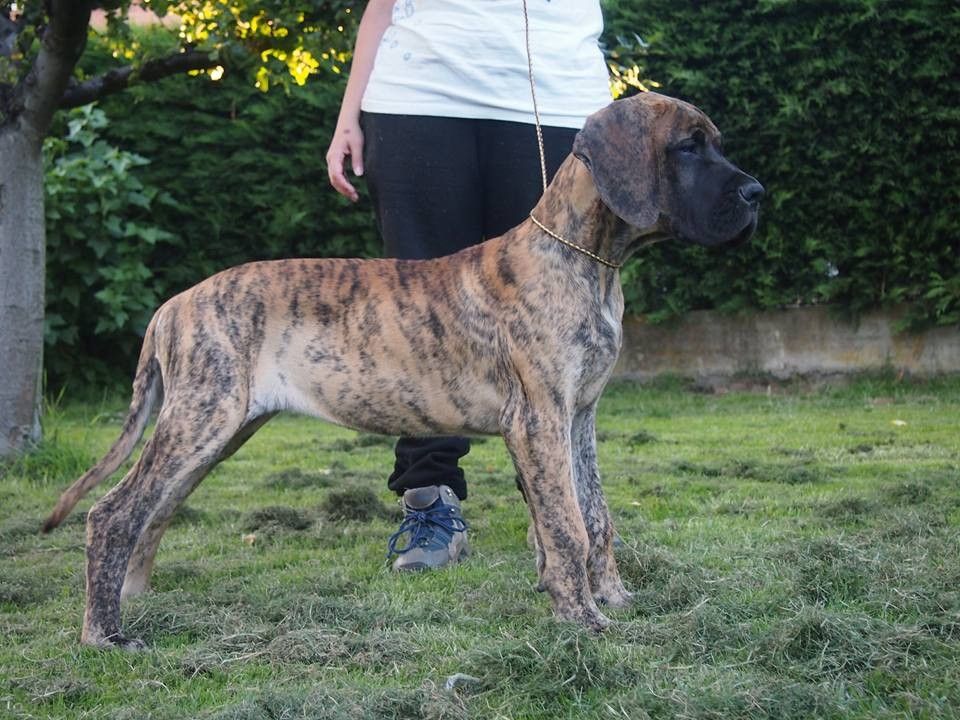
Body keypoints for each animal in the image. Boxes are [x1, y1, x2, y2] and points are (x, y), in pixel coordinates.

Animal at [43, 92, 763, 648]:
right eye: (688, 147)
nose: (756, 192)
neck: (585, 259)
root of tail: (172, 305)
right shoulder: (539, 419)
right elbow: (567, 525)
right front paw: (582, 620)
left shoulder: (579, 415)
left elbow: (597, 515)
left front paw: (614, 599)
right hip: (200, 420)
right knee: (113, 514)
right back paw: (105, 633)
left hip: (216, 430)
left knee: (153, 511)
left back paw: (130, 597)